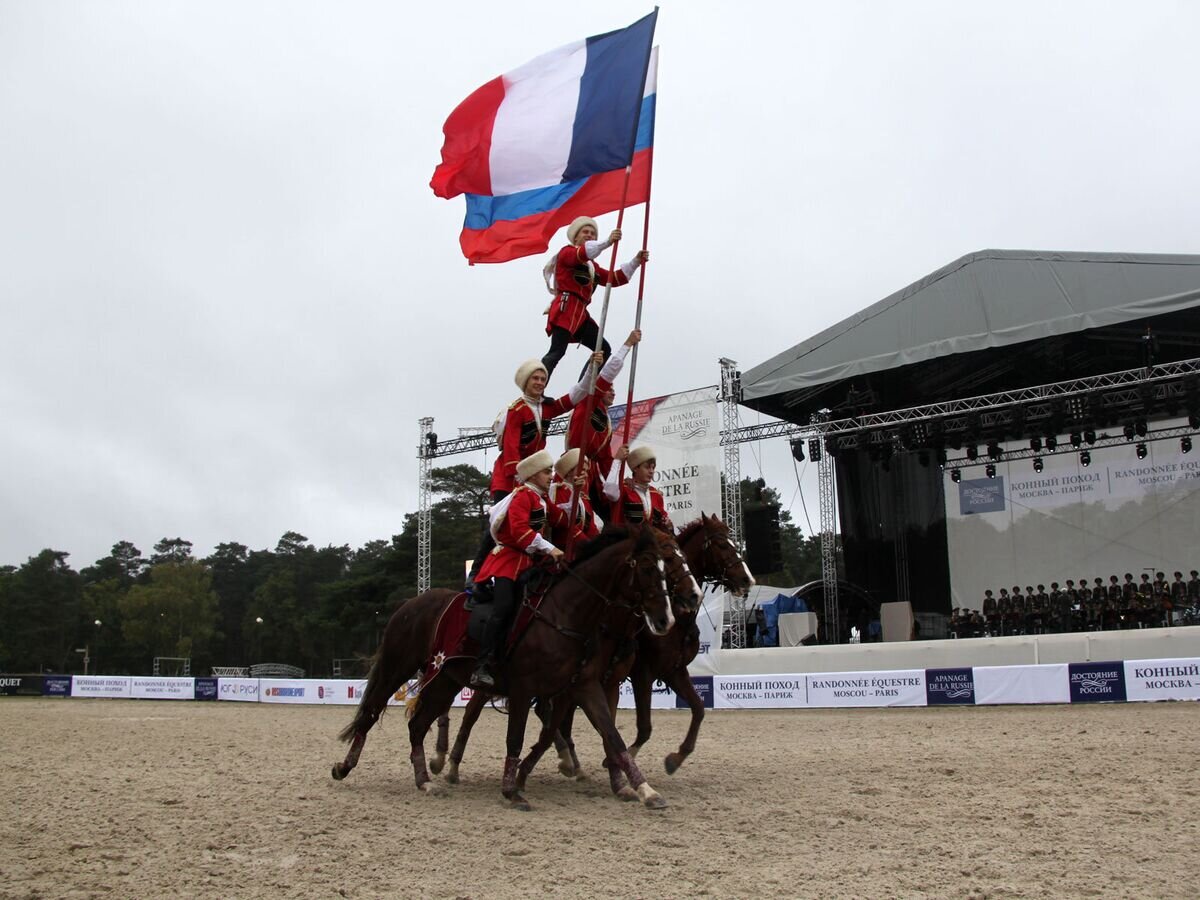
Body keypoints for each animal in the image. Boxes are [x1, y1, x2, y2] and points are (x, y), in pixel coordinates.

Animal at [328, 525, 686, 816]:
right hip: (396, 668)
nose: (666, 619)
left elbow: (611, 734)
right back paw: (345, 766)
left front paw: (646, 790)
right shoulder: (523, 690)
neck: (565, 612)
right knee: (371, 713)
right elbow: (515, 738)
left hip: (444, 680)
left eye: (666, 569)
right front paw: (512, 791)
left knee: (416, 726)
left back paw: (424, 781)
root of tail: (409, 604)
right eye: (646, 568)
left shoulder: (584, 686)